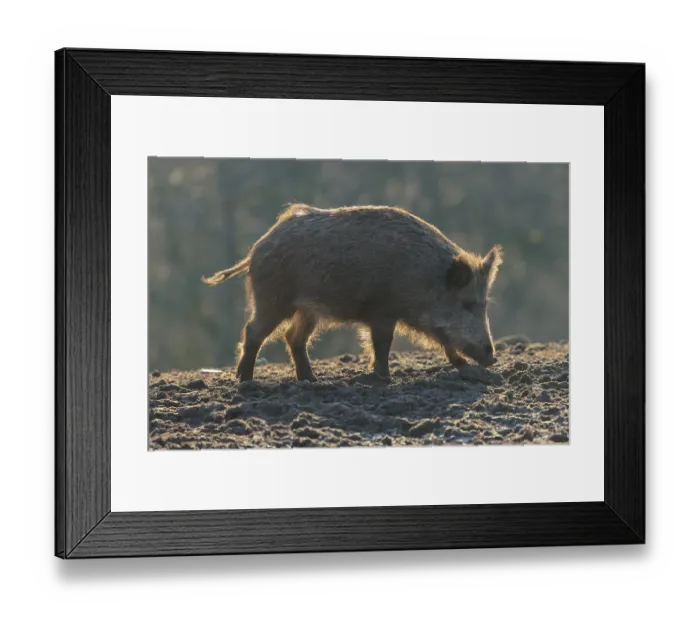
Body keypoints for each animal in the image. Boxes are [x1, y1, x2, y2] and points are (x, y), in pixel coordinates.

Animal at [202, 204, 503, 382]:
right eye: (467, 304)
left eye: (484, 305)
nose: (492, 358)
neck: (424, 275)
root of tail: (256, 248)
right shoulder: (383, 311)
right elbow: (382, 344)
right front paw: (384, 378)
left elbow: (445, 341)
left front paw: (466, 368)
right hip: (273, 298)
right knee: (253, 331)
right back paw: (245, 380)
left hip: (307, 310)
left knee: (293, 337)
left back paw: (311, 380)